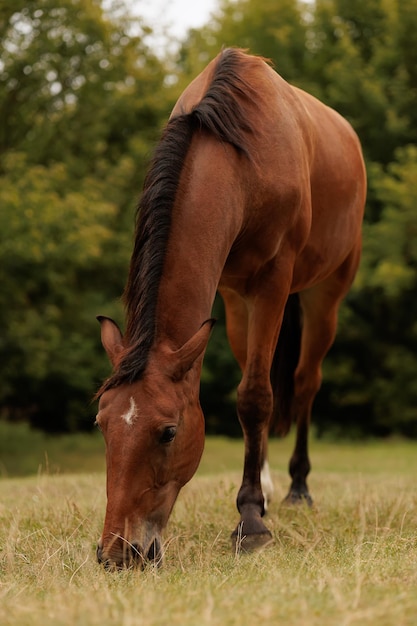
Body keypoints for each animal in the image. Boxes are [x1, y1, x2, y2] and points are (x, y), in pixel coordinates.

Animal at [94, 47, 364, 564]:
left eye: (168, 431)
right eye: (101, 424)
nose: (118, 552)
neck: (242, 157)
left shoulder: (273, 281)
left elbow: (256, 396)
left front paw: (251, 520)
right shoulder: (232, 291)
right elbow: (248, 395)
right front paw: (254, 499)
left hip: (325, 295)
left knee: (305, 383)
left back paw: (297, 489)